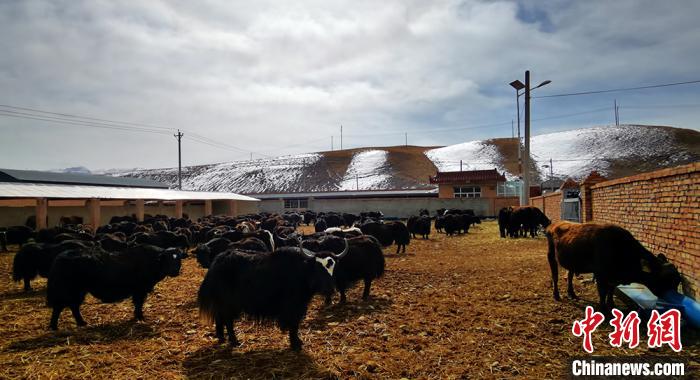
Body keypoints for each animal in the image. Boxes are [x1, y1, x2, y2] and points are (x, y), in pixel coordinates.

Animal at [544, 220, 680, 312]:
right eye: (664, 279)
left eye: (677, 280)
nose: (673, 297)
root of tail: (554, 224)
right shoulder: (600, 274)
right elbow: (602, 292)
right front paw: (603, 308)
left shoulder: (612, 276)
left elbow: (611, 290)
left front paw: (611, 304)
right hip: (551, 256)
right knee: (555, 276)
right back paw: (556, 295)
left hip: (572, 262)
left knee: (570, 276)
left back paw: (572, 294)